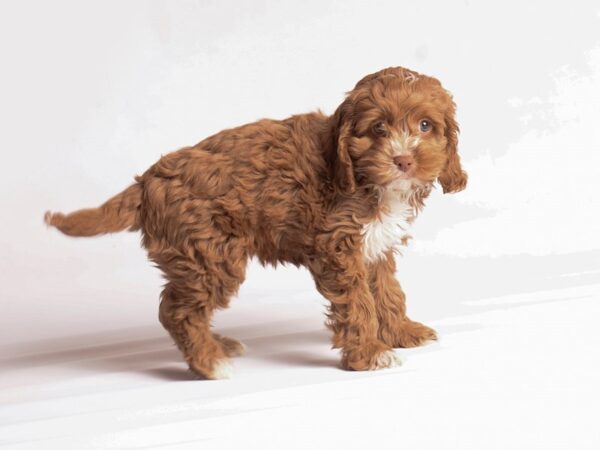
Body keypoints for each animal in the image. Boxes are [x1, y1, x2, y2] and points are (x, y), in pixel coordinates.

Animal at [48, 66, 468, 376]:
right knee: (177, 310)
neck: (366, 180)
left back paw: (217, 346)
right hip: (209, 255)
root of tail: (148, 178)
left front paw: (401, 331)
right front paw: (368, 353)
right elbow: (358, 302)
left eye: (426, 125)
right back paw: (209, 363)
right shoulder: (337, 247)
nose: (404, 160)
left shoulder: (375, 246)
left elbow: (387, 292)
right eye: (379, 128)